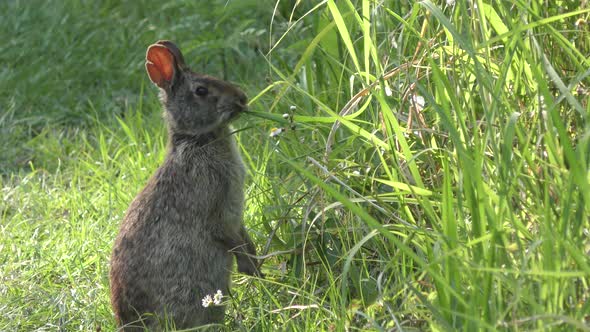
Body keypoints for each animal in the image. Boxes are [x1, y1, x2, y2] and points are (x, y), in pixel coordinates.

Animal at [109, 40, 262, 330]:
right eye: (201, 90)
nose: (242, 98)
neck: (196, 140)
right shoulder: (215, 210)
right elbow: (228, 236)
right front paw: (251, 268)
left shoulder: (235, 217)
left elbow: (242, 233)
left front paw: (256, 263)